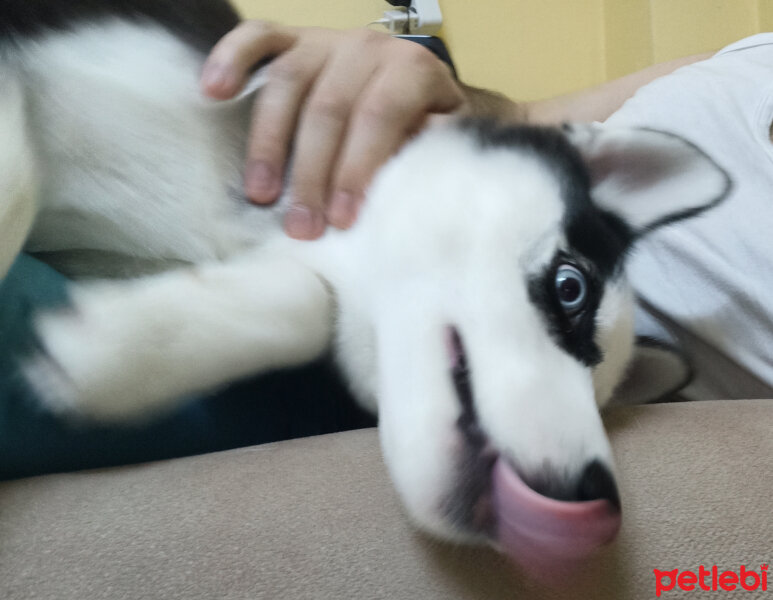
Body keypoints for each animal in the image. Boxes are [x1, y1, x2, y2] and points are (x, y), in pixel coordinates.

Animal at [0, 0, 728, 572]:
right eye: (571, 286)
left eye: (600, 396)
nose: (591, 495)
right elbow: (18, 176)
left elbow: (305, 301)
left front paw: (119, 349)